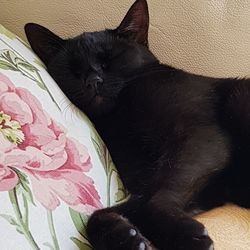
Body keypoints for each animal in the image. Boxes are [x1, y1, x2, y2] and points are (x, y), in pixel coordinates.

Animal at [24, 0, 250, 250]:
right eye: (73, 70)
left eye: (109, 61)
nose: (92, 81)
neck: (120, 120)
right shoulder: (179, 184)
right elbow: (104, 214)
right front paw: (123, 236)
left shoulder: (199, 139)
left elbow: (155, 197)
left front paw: (187, 237)